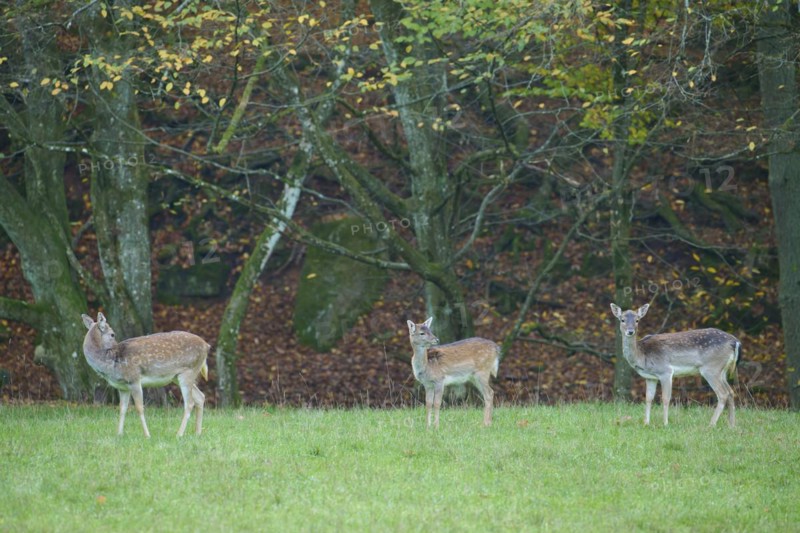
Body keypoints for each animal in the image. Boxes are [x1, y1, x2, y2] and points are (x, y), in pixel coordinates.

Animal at [81, 312, 210, 437]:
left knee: (189, 403)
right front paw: (119, 434)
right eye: (112, 334)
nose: (115, 346)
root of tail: (206, 346)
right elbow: (122, 408)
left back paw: (179, 434)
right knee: (200, 396)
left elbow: (139, 408)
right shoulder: (122, 387)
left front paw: (147, 435)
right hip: (178, 376)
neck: (112, 363)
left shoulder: (134, 379)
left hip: (188, 371)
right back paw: (197, 433)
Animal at [610, 303, 741, 428]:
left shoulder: (665, 371)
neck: (642, 355)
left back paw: (711, 424)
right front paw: (646, 423)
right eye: (622, 319)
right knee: (730, 392)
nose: (630, 331)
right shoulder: (650, 377)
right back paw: (732, 425)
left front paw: (665, 423)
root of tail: (735, 342)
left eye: (637, 320)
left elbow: (665, 398)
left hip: (711, 368)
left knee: (723, 394)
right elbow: (648, 398)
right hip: (722, 370)